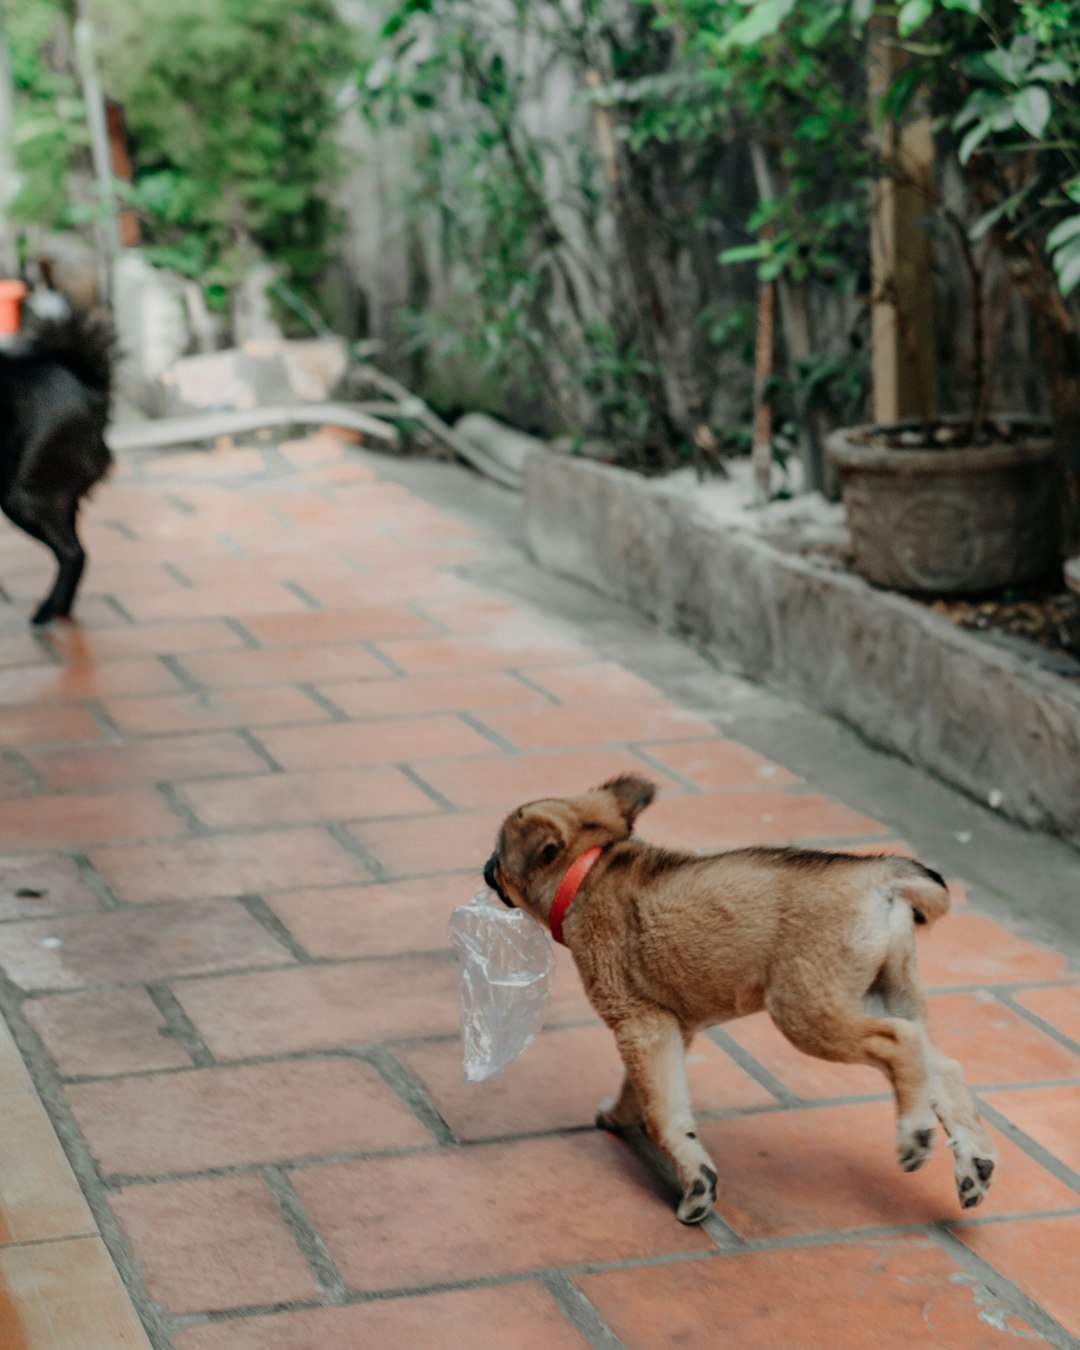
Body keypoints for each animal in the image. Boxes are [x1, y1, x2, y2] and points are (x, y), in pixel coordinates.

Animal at [486, 772, 999, 1225]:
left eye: (498, 852)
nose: (486, 868)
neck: (588, 871)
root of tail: (880, 875)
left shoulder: (639, 1024)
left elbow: (662, 1115)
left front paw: (696, 1183)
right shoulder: (666, 1030)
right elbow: (647, 1096)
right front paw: (620, 1117)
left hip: (807, 1011)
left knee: (899, 1042)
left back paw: (913, 1133)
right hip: (881, 993)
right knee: (944, 1067)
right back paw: (974, 1164)